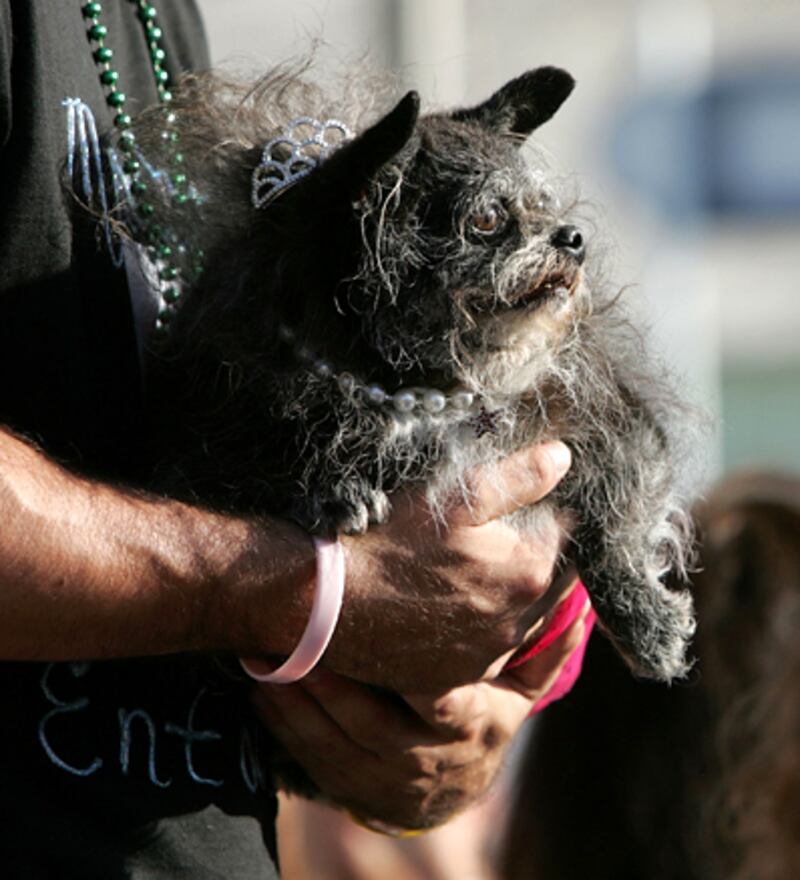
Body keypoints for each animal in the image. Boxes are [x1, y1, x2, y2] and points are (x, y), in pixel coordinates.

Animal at [112, 67, 692, 688]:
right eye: (486, 220)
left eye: (543, 207)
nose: (573, 237)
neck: (403, 386)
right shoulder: (190, 451)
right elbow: (244, 475)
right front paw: (323, 488)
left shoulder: (621, 428)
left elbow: (617, 531)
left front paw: (644, 618)